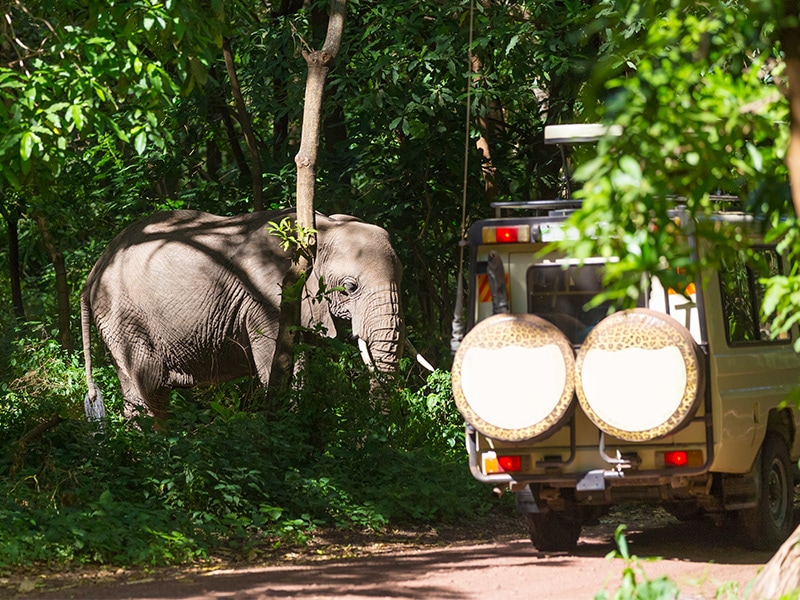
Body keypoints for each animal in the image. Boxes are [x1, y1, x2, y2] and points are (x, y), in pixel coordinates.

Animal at [80, 211, 404, 422]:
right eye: (350, 287)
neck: (322, 227)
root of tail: (92, 274)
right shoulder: (269, 298)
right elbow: (282, 366)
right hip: (123, 314)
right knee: (152, 385)